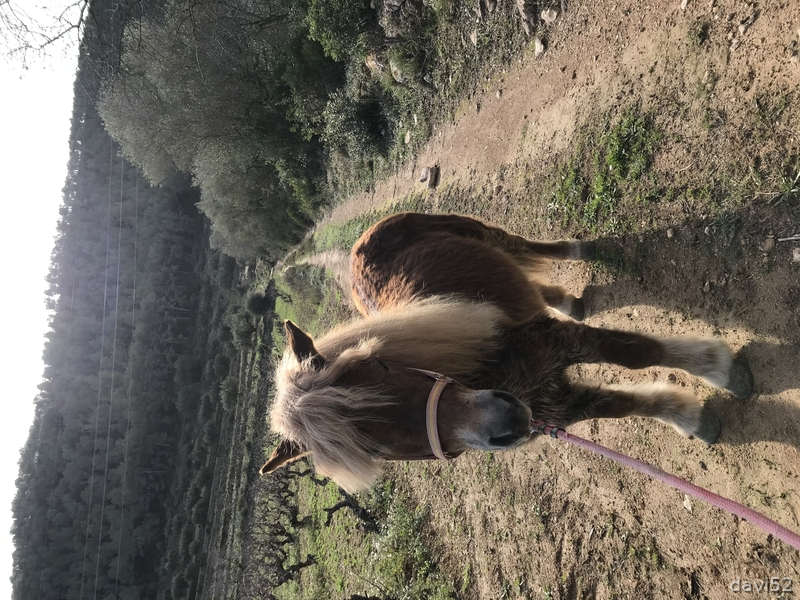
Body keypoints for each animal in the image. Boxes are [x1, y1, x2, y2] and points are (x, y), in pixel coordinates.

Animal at [262, 212, 753, 493]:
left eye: (383, 365)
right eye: (374, 448)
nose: (505, 423)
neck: (494, 372)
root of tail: (359, 244)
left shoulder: (559, 345)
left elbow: (637, 352)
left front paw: (719, 370)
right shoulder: (555, 405)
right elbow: (624, 405)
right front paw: (691, 418)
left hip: (484, 235)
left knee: (524, 246)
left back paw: (579, 250)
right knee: (531, 282)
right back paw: (567, 299)